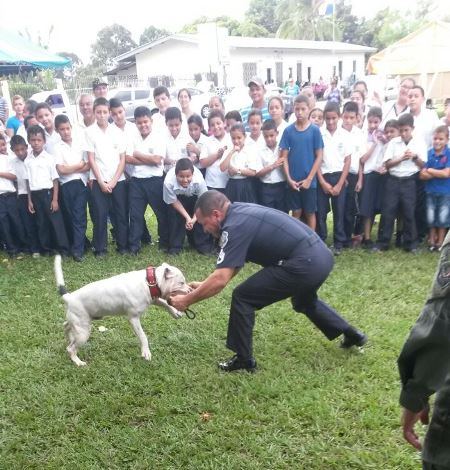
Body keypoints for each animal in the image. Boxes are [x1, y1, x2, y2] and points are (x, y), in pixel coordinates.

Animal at [54, 255, 190, 366]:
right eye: (181, 282)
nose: (190, 290)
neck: (150, 281)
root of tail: (69, 297)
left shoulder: (154, 298)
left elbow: (165, 303)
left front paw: (175, 312)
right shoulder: (133, 318)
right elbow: (143, 336)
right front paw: (146, 352)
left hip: (79, 323)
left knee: (66, 326)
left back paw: (69, 337)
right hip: (83, 331)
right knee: (70, 348)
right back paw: (78, 362)